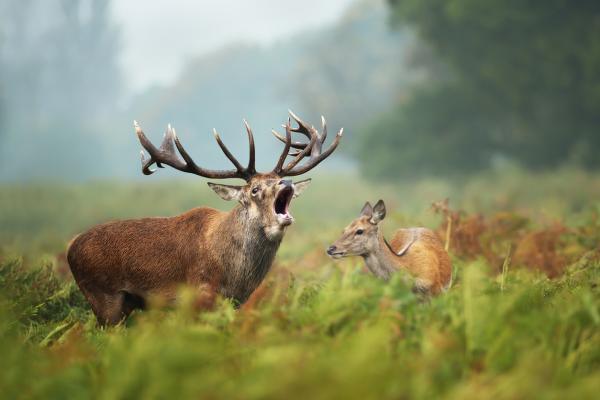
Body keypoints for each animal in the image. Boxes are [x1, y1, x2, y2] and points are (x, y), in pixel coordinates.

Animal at [68, 111, 342, 324]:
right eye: (255, 189)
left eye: (279, 180)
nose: (287, 182)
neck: (234, 275)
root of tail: (71, 249)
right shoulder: (197, 297)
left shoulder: (234, 302)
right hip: (103, 297)